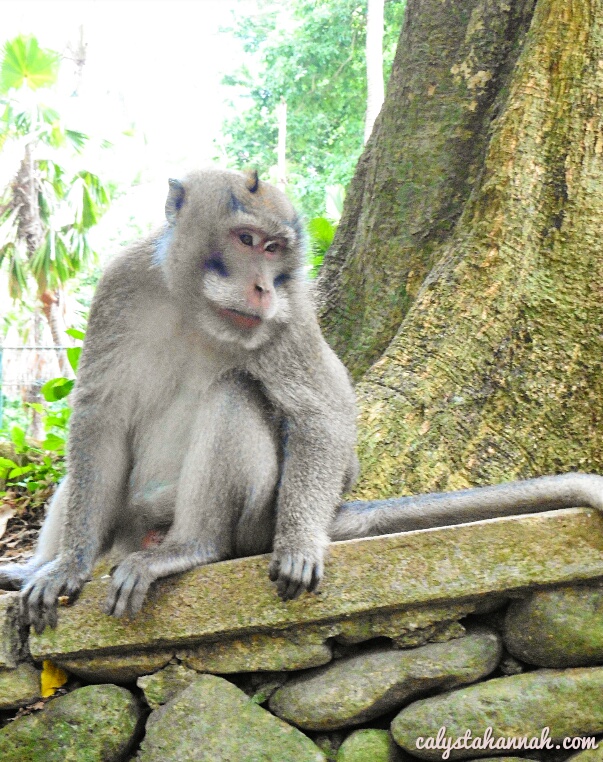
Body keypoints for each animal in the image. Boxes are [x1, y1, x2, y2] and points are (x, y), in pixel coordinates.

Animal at [0, 167, 601, 634]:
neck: (195, 306)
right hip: (123, 522)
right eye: (245, 239)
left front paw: (298, 543)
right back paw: (37, 567)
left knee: (235, 394)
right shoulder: (120, 285)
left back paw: (191, 548)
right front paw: (67, 565)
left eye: (274, 249)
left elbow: (324, 415)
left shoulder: (293, 311)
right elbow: (98, 416)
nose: (264, 287)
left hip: (250, 523)